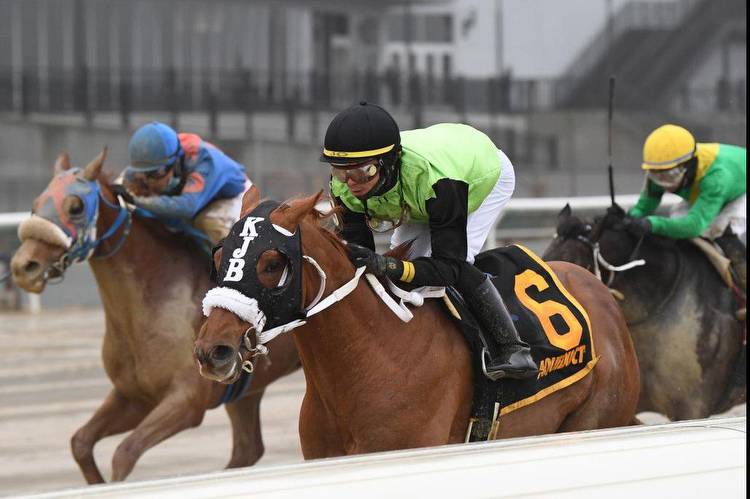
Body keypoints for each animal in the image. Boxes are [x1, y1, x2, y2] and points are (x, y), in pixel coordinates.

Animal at [10, 149, 302, 484]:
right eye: (35, 204)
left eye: (76, 207)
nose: (23, 266)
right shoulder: (134, 396)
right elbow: (80, 443)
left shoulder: (187, 400)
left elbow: (124, 453)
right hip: (245, 391)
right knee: (248, 449)